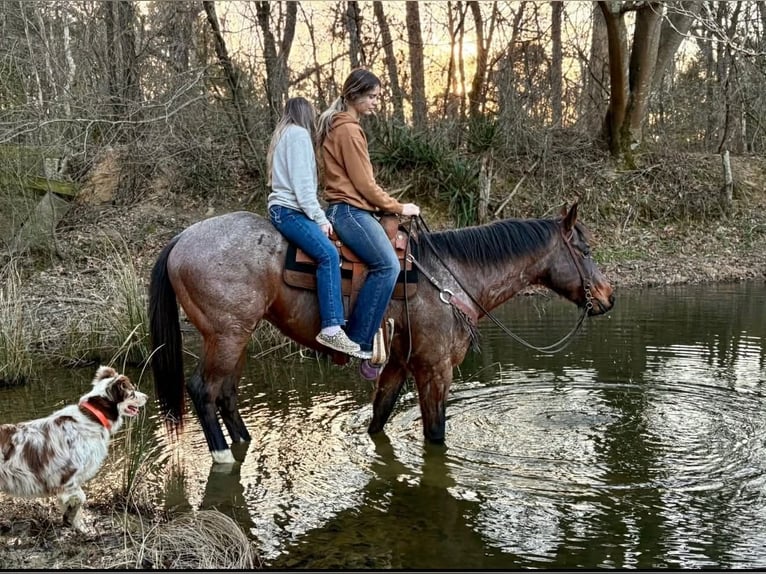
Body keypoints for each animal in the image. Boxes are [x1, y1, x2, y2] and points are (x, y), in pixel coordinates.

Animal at [148, 203, 614, 464]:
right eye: (585, 250)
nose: (608, 297)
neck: (451, 278)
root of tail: (180, 239)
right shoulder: (435, 370)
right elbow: (435, 434)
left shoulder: (398, 366)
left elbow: (379, 418)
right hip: (226, 336)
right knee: (203, 390)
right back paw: (223, 456)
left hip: (238, 337)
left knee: (226, 393)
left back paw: (242, 442)